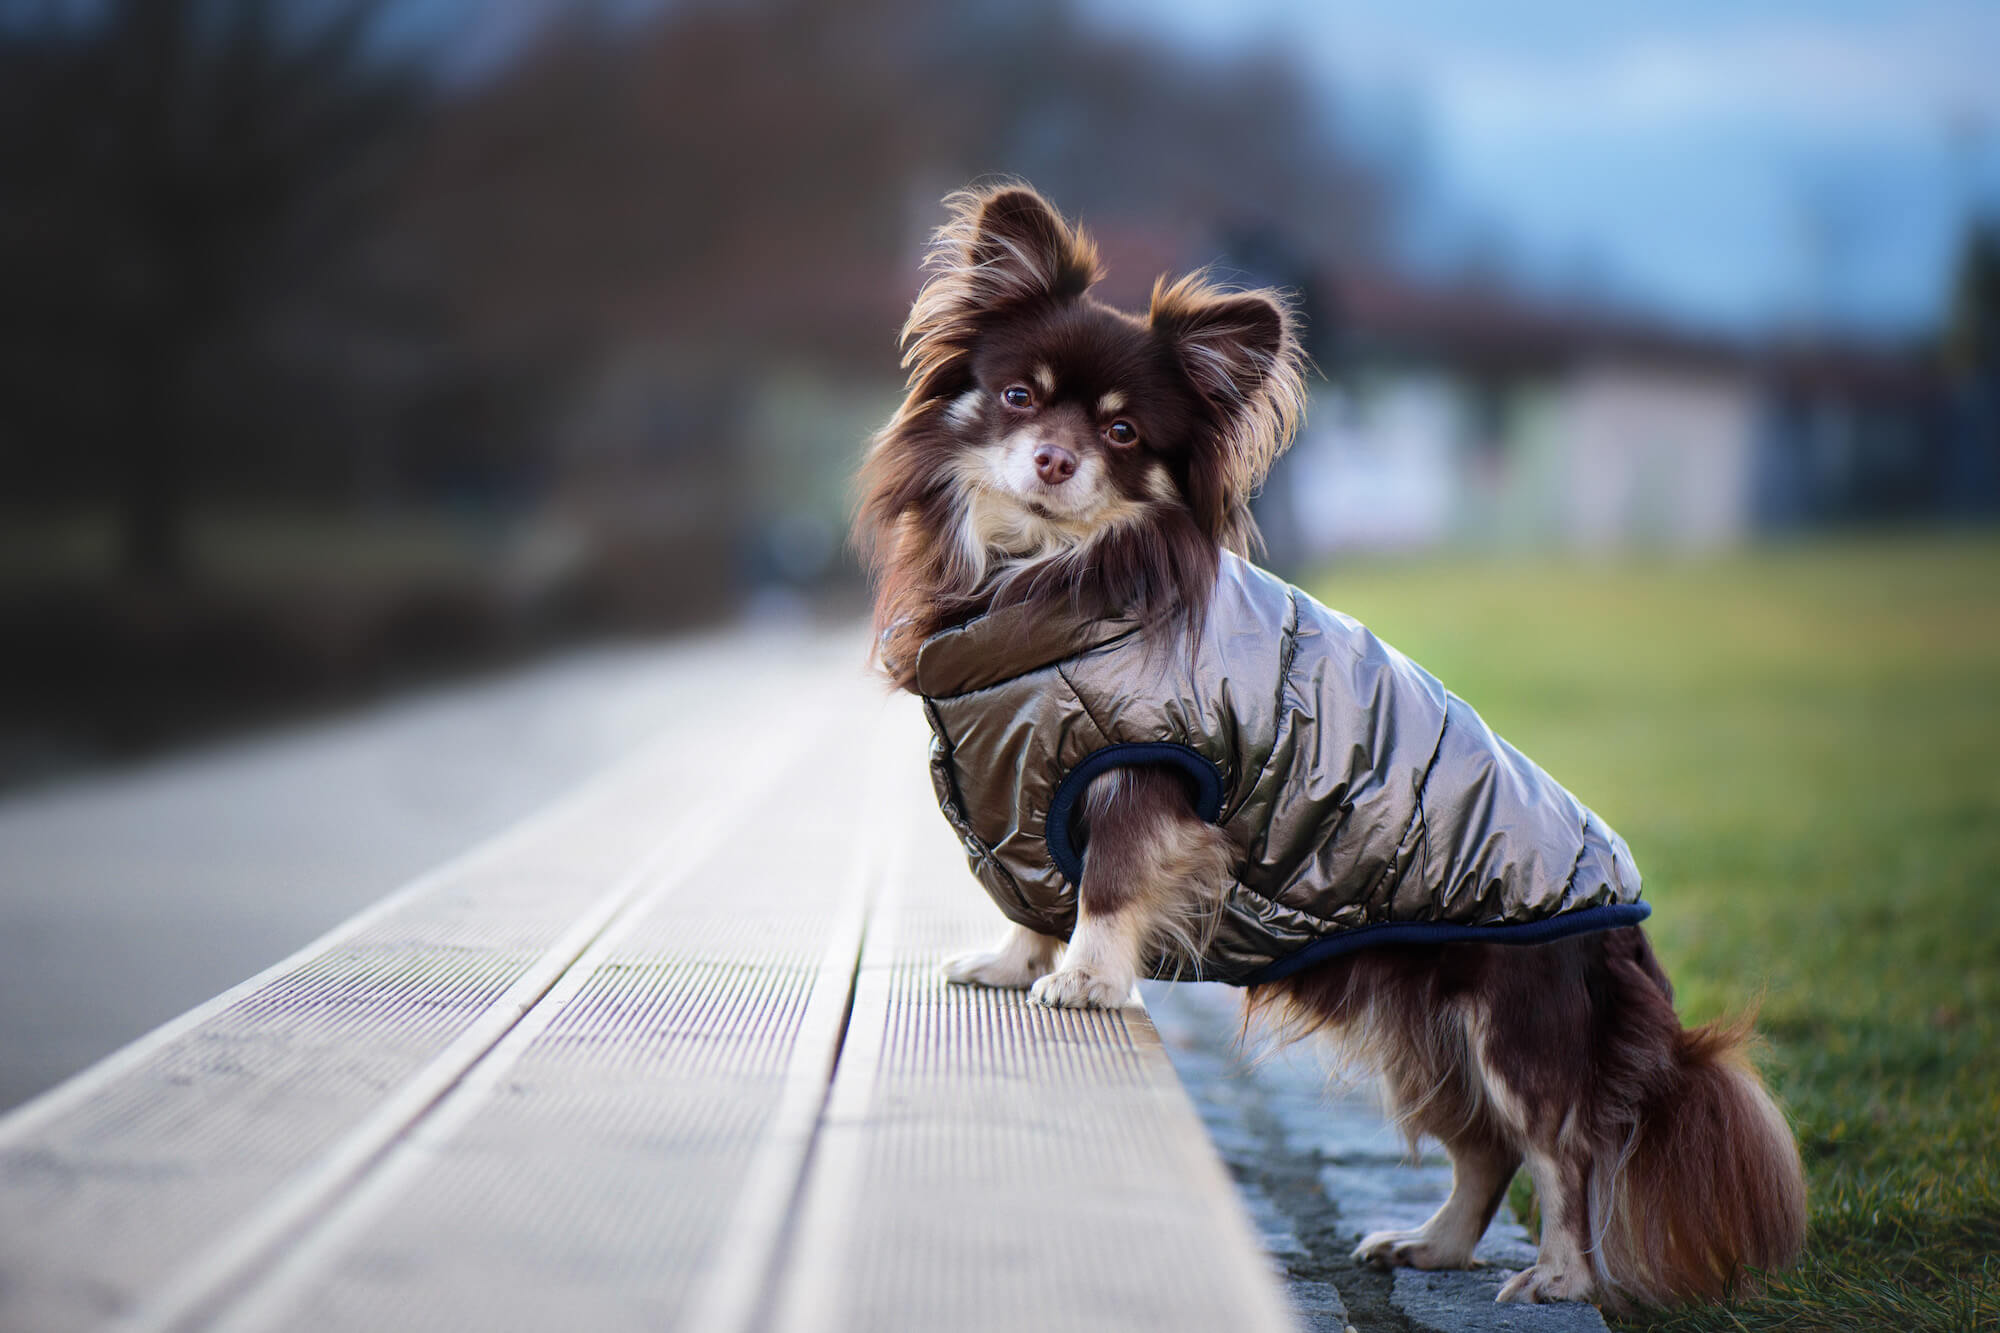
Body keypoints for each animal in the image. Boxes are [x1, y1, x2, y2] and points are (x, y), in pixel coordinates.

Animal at [852, 182, 1808, 1304]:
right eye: (1015, 397)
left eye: (1123, 432)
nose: (1054, 458)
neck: (1041, 577)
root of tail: (1623, 917)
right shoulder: (1025, 793)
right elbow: (1031, 895)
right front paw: (1011, 961)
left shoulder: (1140, 778)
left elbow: (1108, 888)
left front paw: (1085, 980)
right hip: (1422, 1033)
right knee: (1483, 1150)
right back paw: (1431, 1244)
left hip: (1510, 1025)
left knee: (1560, 1149)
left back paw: (1562, 1277)